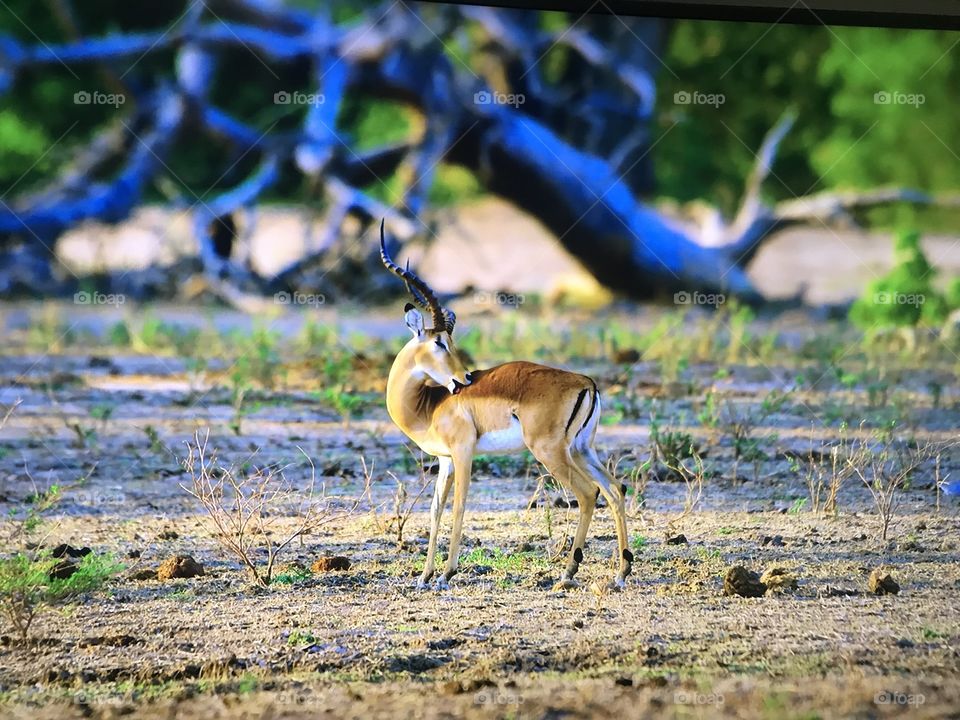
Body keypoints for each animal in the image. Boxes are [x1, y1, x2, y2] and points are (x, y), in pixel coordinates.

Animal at [379, 220, 632, 591]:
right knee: (615, 489)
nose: (465, 379)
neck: (430, 406)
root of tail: (587, 382)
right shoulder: (445, 460)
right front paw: (424, 576)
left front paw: (446, 574)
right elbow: (435, 510)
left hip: (550, 451)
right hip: (582, 449)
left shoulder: (463, 452)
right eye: (440, 342)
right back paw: (621, 573)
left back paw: (568, 573)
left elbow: (459, 506)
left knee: (588, 493)